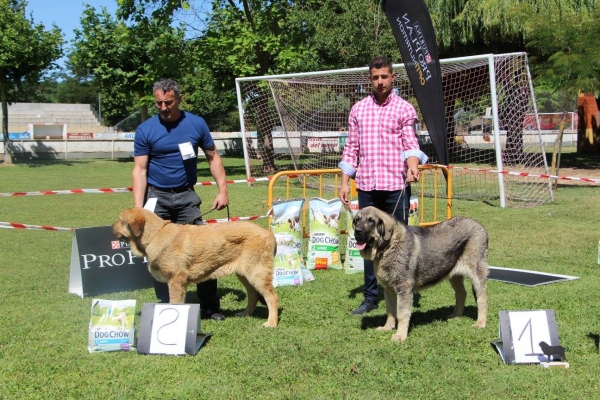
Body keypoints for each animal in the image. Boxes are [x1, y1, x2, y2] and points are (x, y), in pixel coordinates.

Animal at [352, 208, 488, 342]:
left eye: (371, 221)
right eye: (356, 220)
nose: (357, 231)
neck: (388, 246)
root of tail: (480, 226)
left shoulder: (404, 289)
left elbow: (401, 313)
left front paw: (400, 335)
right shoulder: (388, 289)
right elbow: (390, 310)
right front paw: (387, 327)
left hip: (476, 273)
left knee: (482, 298)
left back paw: (480, 323)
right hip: (454, 275)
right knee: (461, 294)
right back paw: (456, 316)